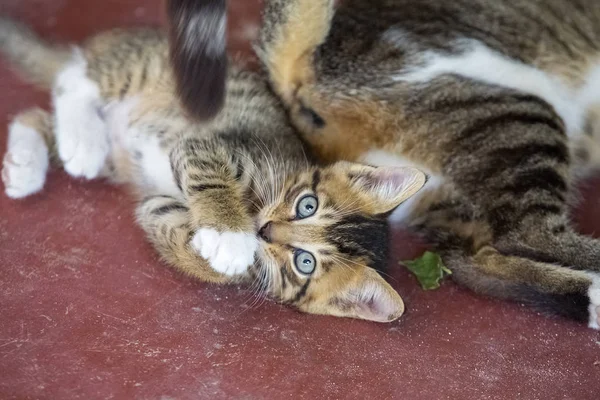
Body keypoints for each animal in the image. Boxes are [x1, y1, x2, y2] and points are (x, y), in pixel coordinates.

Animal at [0, 17, 426, 322]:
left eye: (304, 263)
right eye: (307, 205)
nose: (264, 231)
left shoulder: (158, 207)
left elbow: (186, 244)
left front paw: (229, 253)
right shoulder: (207, 145)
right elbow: (211, 177)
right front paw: (229, 234)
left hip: (115, 154)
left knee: (41, 114)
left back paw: (29, 163)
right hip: (151, 67)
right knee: (75, 78)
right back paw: (81, 139)